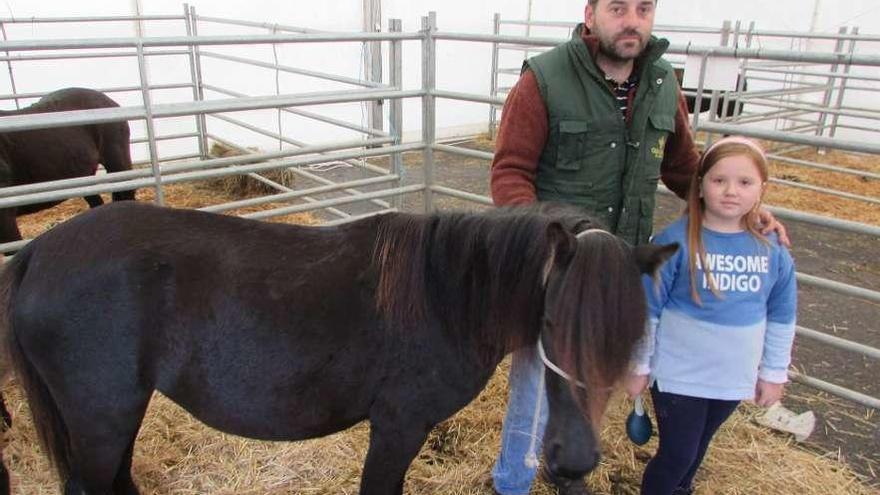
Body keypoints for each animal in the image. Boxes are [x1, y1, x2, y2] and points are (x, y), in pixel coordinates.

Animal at [0, 202, 676, 495]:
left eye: (634, 332)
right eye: (553, 320)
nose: (574, 461)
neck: (443, 293)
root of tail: (37, 254)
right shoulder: (398, 427)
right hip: (102, 419)